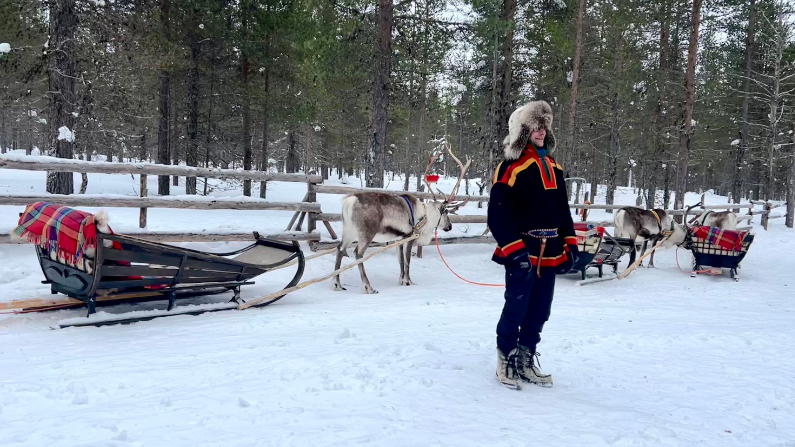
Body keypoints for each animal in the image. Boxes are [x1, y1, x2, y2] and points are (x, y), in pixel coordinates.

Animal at [331, 141, 471, 294]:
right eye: (445, 212)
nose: (449, 226)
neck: (426, 216)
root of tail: (349, 202)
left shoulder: (399, 238)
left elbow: (400, 260)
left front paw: (401, 280)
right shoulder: (410, 236)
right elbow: (408, 259)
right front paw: (408, 281)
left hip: (349, 231)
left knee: (340, 249)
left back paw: (337, 283)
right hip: (366, 233)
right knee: (358, 253)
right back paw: (368, 287)